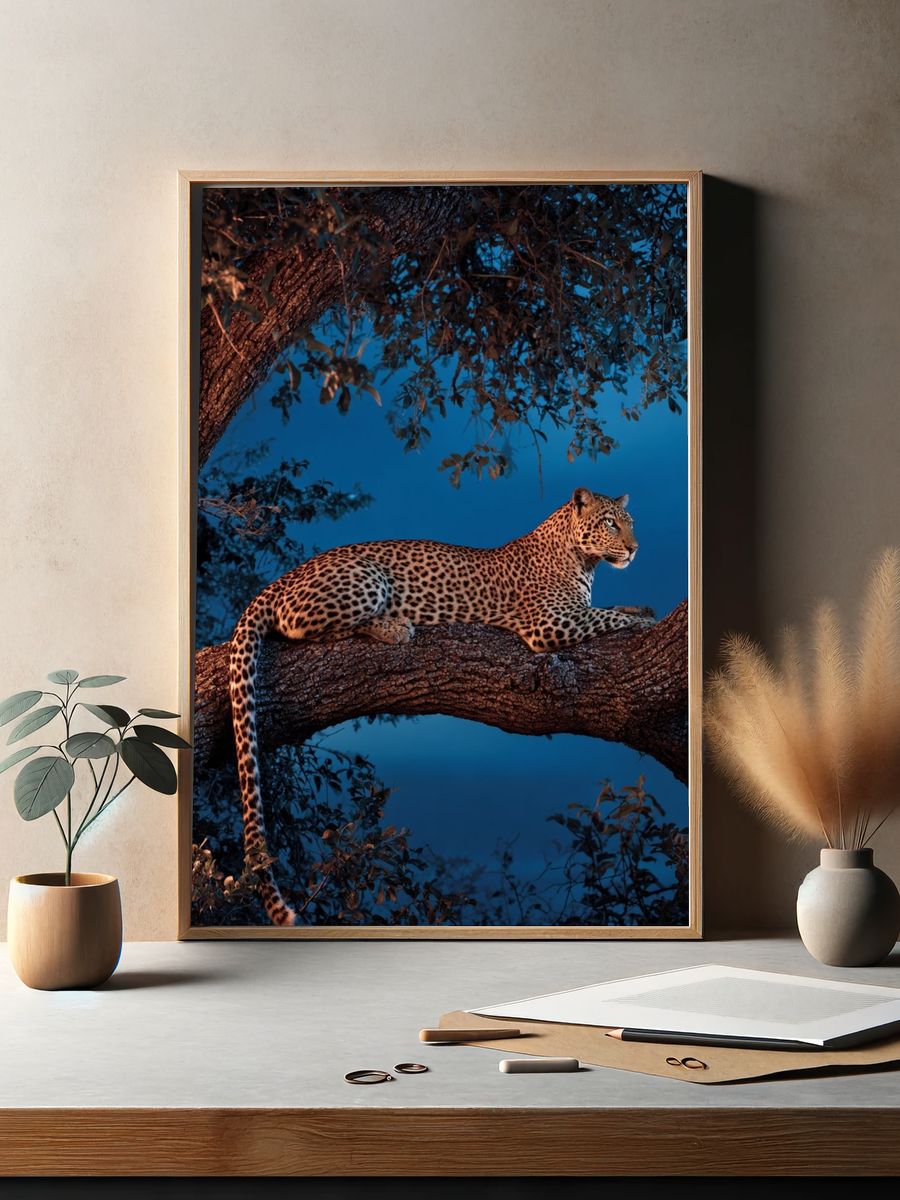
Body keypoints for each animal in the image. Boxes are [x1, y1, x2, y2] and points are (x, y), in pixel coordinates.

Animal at [228, 486, 655, 925]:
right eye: (610, 523)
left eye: (630, 523)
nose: (635, 549)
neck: (584, 560)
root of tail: (282, 579)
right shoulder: (550, 624)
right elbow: (605, 618)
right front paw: (646, 624)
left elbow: (611, 610)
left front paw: (640, 609)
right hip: (366, 581)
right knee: (302, 629)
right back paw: (393, 627)